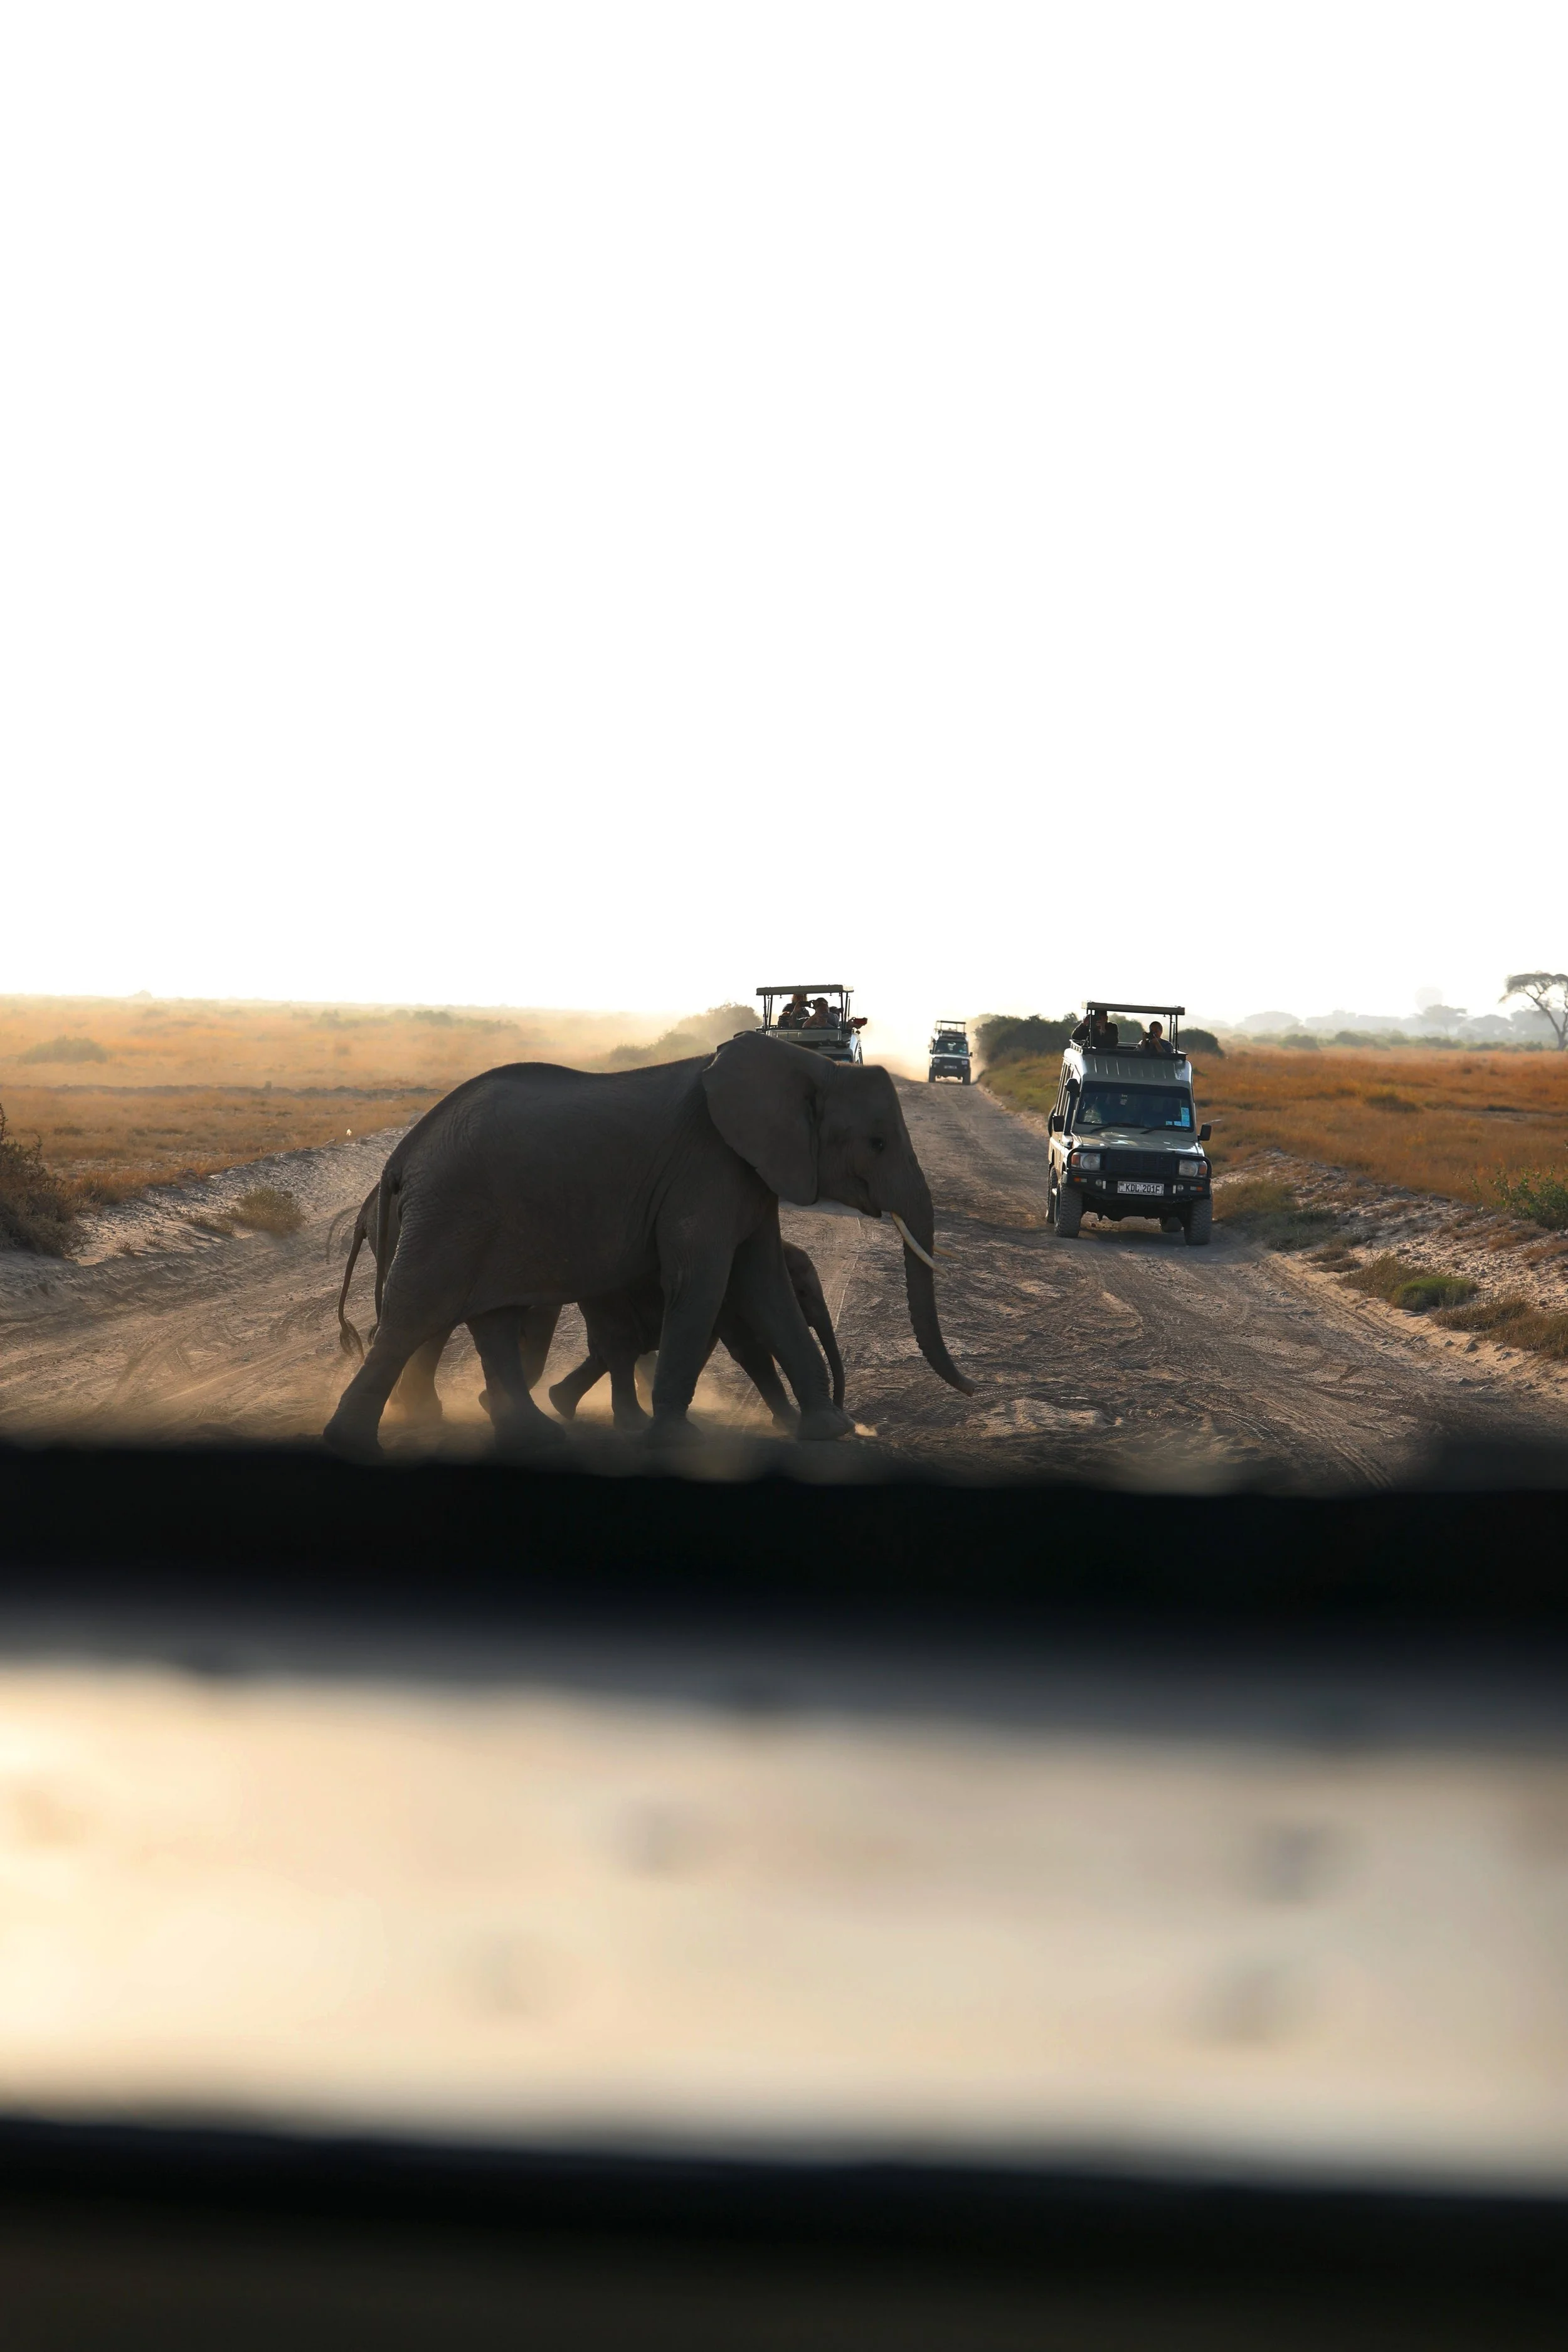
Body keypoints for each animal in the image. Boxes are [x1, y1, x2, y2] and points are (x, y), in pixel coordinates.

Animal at [323, 1030, 970, 1458]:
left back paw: (536, 1436)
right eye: (878, 1143)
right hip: (454, 1212)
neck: (808, 1065)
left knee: (492, 1321)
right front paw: (677, 1439)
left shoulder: (749, 1174)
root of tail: (404, 1154)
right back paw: (352, 1443)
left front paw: (827, 1432)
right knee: (417, 1314)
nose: (970, 1388)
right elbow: (704, 1282)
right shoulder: (705, 1169)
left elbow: (764, 1287)